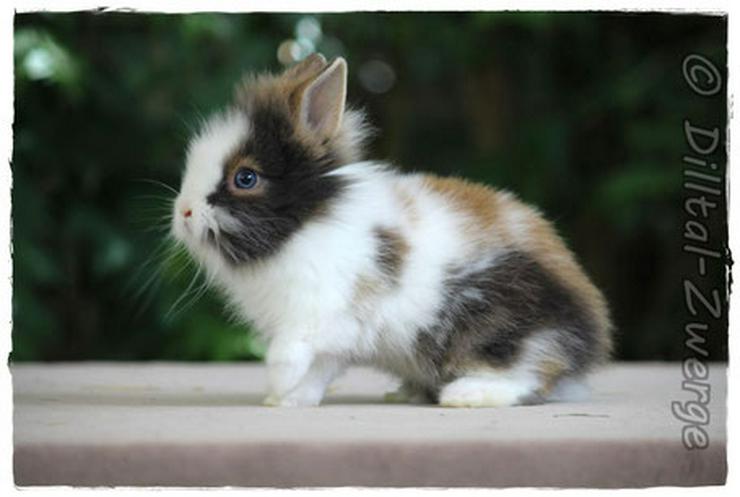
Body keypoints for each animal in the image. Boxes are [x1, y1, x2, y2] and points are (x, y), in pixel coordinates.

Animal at [172, 53, 612, 406]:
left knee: (532, 371)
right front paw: (286, 401)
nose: (184, 213)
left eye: (245, 178)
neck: (307, 226)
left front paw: (279, 382)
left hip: (502, 326)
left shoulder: (320, 310)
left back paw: (466, 394)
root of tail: (593, 334)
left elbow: (289, 351)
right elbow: (320, 371)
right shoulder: (338, 335)